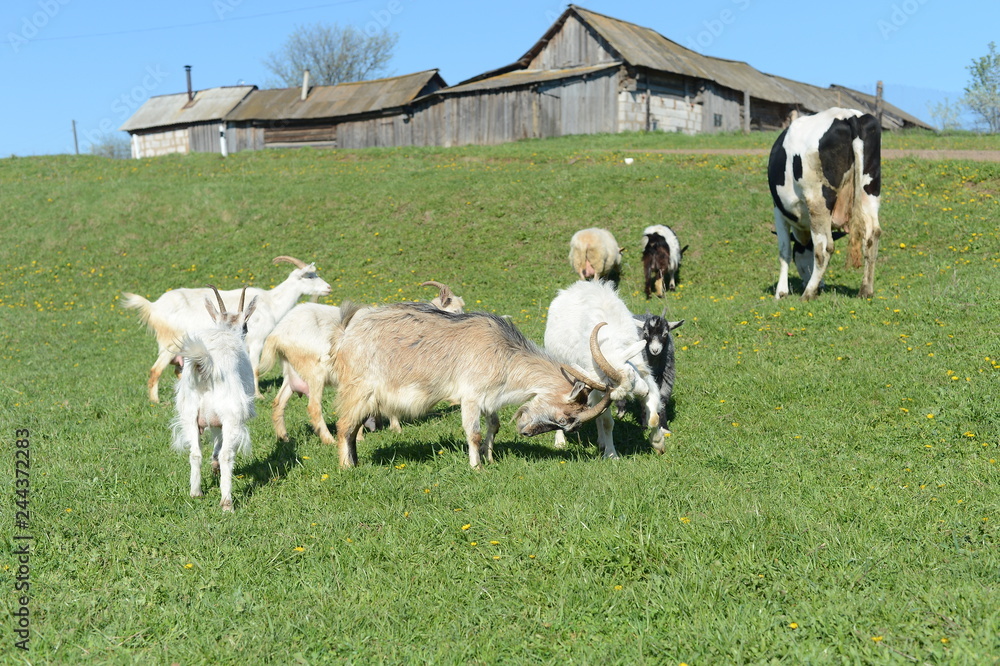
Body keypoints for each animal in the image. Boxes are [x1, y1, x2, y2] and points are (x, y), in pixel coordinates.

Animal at [122, 255, 331, 403]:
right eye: (310, 275)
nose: (328, 288)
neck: (271, 303)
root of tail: (153, 306)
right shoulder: (257, 341)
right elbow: (255, 368)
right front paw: (258, 395)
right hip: (170, 344)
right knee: (155, 371)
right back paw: (156, 401)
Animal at [171, 286, 257, 512]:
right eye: (245, 326)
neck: (226, 331)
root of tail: (207, 369)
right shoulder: (223, 419)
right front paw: (216, 466)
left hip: (189, 413)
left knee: (194, 453)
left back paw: (196, 493)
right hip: (232, 414)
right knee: (227, 454)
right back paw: (227, 502)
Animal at [331, 302, 619, 469]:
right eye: (565, 419)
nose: (525, 432)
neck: (504, 353)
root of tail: (345, 334)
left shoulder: (490, 397)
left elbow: (494, 425)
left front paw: (490, 457)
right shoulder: (470, 396)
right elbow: (474, 432)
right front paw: (477, 466)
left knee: (352, 428)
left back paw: (356, 462)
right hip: (359, 389)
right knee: (344, 426)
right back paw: (347, 467)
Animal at [544, 280, 664, 458]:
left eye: (632, 374)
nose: (644, 393)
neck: (608, 342)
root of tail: (572, 288)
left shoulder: (643, 373)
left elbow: (654, 417)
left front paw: (658, 443)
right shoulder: (602, 392)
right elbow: (607, 422)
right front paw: (612, 455)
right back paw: (560, 442)